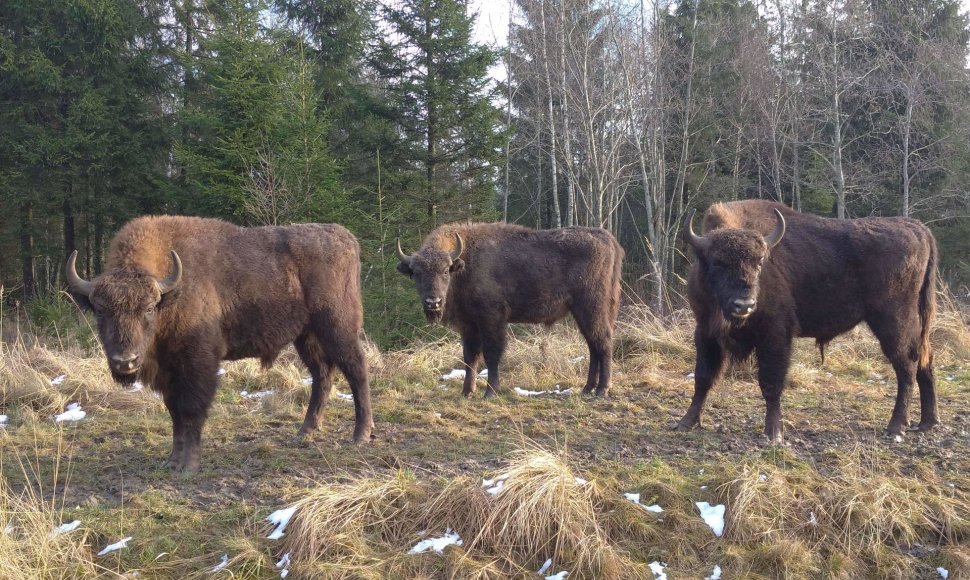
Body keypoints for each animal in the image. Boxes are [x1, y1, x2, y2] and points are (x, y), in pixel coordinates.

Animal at [65, 216, 374, 472]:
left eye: (149, 308)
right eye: (100, 310)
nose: (125, 361)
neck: (172, 294)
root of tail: (346, 237)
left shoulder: (198, 364)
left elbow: (191, 410)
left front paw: (188, 467)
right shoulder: (169, 372)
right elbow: (174, 413)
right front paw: (171, 462)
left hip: (338, 329)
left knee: (356, 371)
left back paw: (360, 435)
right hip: (306, 336)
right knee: (323, 375)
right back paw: (305, 431)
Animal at [398, 222, 624, 398]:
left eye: (445, 271)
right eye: (416, 273)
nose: (433, 302)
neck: (466, 262)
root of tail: (608, 239)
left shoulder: (492, 319)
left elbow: (491, 353)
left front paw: (490, 392)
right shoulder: (468, 324)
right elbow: (470, 357)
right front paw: (466, 391)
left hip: (592, 308)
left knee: (603, 342)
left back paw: (602, 390)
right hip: (582, 312)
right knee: (593, 345)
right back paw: (587, 389)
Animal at [672, 199, 936, 440]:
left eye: (759, 261)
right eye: (717, 262)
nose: (744, 305)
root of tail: (917, 228)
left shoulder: (775, 335)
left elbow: (771, 382)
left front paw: (774, 433)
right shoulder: (705, 332)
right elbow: (703, 378)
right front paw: (685, 422)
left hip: (893, 322)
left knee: (906, 365)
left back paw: (896, 428)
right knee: (924, 358)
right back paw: (927, 422)